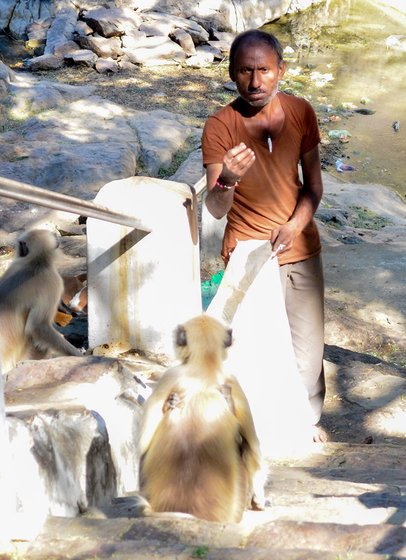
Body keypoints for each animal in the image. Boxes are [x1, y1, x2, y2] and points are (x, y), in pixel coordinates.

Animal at [139, 312, 266, 524]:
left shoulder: (169, 375)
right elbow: (254, 450)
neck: (204, 364)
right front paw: (260, 499)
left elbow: (142, 443)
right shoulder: (231, 379)